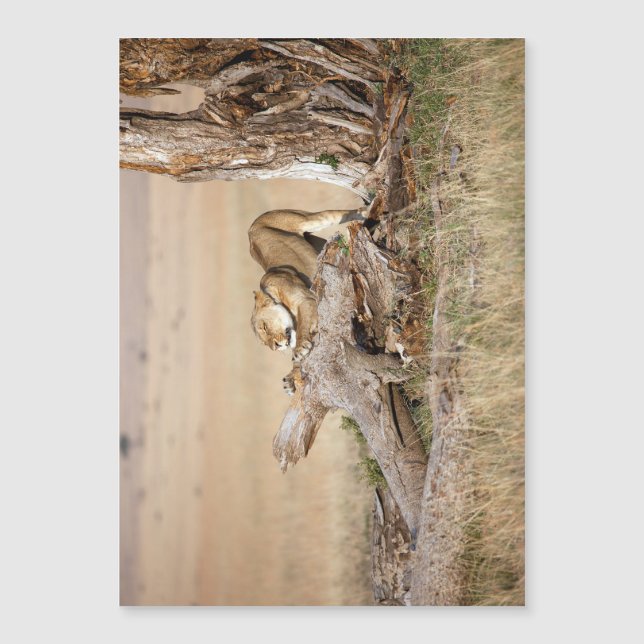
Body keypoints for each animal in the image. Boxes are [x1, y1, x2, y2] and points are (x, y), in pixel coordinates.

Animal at [249, 208, 367, 393]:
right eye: (264, 343)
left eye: (265, 327)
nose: (275, 347)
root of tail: (252, 225)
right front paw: (291, 379)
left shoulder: (306, 298)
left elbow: (303, 326)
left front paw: (298, 349)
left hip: (307, 219)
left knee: (343, 213)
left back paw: (369, 210)